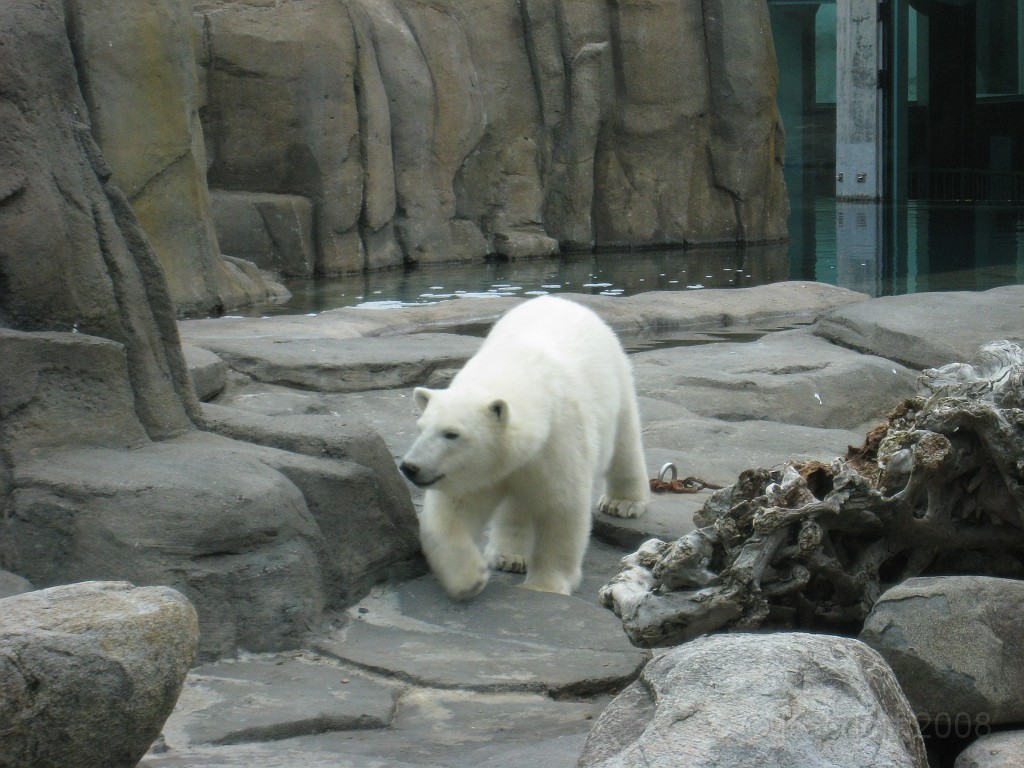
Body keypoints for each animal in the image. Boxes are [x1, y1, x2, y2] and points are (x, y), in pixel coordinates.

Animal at [397, 294, 647, 602]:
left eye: (451, 434)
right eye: (421, 428)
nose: (410, 467)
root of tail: (561, 300)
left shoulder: (560, 438)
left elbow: (560, 508)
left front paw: (545, 585)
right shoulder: (475, 471)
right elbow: (454, 510)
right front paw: (469, 578)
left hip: (616, 378)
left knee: (624, 441)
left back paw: (621, 502)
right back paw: (510, 556)